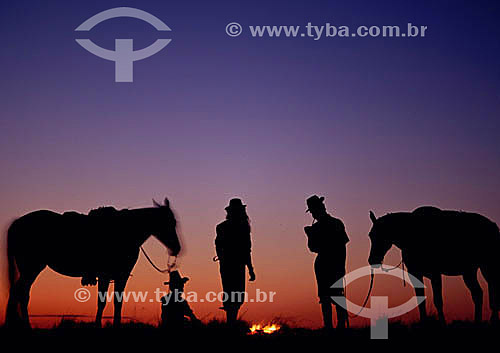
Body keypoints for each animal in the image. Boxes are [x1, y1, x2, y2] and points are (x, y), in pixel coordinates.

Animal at [4, 198, 181, 328]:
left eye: (174, 222)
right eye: (169, 223)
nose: (177, 248)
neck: (124, 231)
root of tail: (16, 223)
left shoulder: (121, 276)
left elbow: (118, 302)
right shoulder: (105, 276)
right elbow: (102, 302)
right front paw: (97, 326)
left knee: (19, 293)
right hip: (31, 268)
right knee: (20, 293)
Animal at [368, 205, 500, 324]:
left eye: (381, 234)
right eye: (370, 235)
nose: (372, 260)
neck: (412, 234)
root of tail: (493, 226)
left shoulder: (435, 274)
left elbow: (438, 301)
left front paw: (442, 323)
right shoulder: (415, 274)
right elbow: (421, 300)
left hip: (488, 267)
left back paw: (492, 320)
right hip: (469, 272)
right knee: (478, 294)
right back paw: (478, 321)